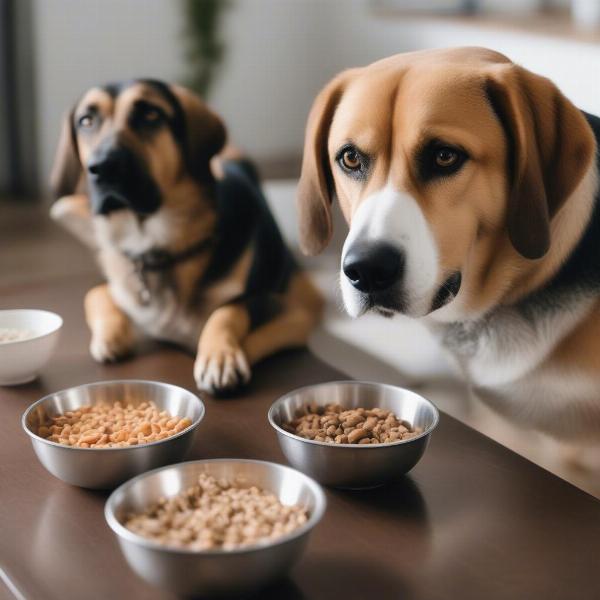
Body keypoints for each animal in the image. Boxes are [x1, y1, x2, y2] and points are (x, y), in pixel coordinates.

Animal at [50, 77, 324, 394]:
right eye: (86, 120)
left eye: (151, 114)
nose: (102, 167)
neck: (153, 245)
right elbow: (95, 293)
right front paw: (111, 336)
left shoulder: (293, 314)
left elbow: (231, 309)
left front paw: (219, 355)